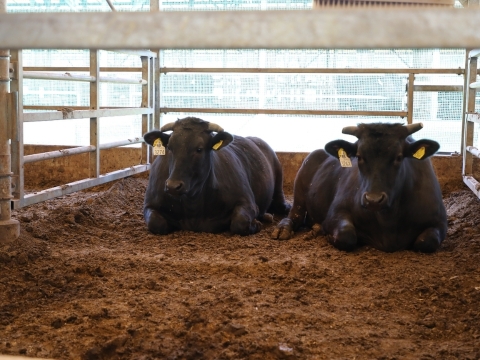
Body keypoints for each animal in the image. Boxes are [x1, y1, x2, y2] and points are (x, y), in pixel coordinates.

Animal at [141, 116, 286, 236]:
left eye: (199, 149)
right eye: (170, 147)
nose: (172, 186)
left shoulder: (247, 201)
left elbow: (240, 222)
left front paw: (257, 223)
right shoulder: (149, 204)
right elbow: (156, 223)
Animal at [272, 122, 448, 252]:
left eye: (398, 157)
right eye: (359, 156)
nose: (373, 200)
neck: (388, 221)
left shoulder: (440, 222)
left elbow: (426, 241)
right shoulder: (336, 211)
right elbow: (346, 234)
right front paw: (326, 232)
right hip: (299, 194)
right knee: (293, 215)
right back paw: (284, 229)